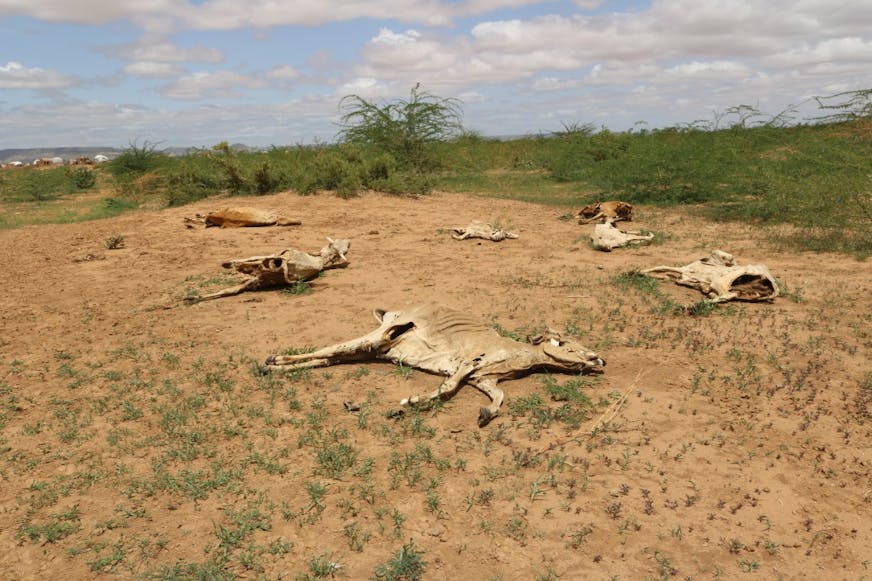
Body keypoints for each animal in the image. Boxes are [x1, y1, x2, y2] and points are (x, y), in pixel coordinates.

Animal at [261, 304, 605, 426]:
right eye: (569, 345)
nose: (600, 360)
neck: (517, 354)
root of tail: (390, 312)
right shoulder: (468, 364)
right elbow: (448, 387)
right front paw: (408, 403)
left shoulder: (484, 380)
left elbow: (499, 398)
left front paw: (485, 414)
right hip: (383, 334)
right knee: (335, 347)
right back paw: (271, 361)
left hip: (377, 350)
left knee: (333, 356)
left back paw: (275, 367)